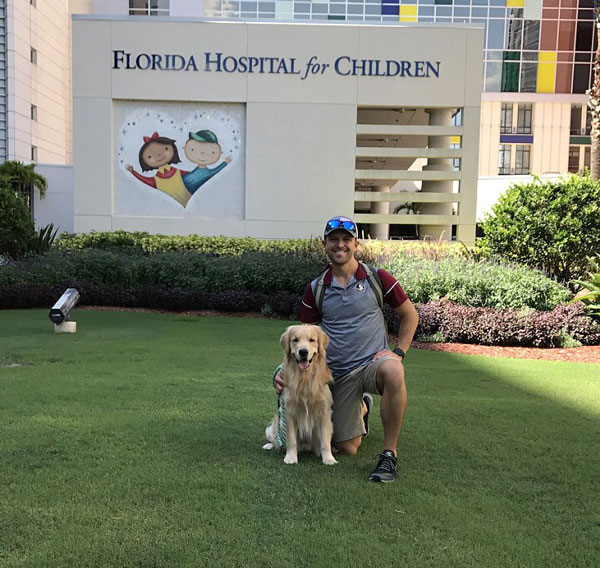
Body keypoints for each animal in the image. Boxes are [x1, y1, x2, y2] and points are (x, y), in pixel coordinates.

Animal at [262, 324, 338, 466]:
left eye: (312, 340)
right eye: (295, 340)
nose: (303, 352)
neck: (305, 379)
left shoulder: (324, 413)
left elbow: (325, 442)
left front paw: (328, 458)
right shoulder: (289, 413)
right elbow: (291, 440)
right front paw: (291, 458)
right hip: (274, 425)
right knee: (275, 440)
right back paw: (270, 445)